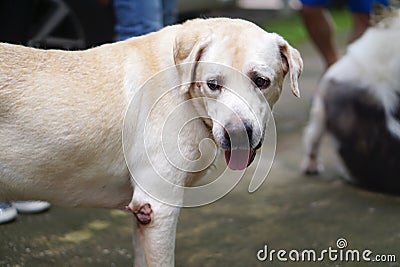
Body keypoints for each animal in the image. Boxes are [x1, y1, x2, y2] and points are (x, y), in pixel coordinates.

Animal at [0, 17, 300, 266]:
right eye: (212, 84)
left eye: (261, 81)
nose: (237, 133)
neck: (183, 84)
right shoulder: (159, 210)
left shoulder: (143, 213)